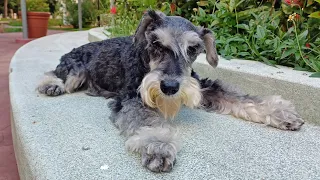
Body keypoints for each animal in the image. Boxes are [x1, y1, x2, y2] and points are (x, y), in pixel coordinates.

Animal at [36, 10, 304, 173]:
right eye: (156, 44)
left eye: (193, 48)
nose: (170, 87)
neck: (144, 60)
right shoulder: (131, 99)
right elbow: (149, 123)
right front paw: (158, 146)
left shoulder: (203, 86)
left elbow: (238, 97)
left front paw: (280, 112)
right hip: (75, 72)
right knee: (55, 71)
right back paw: (50, 85)